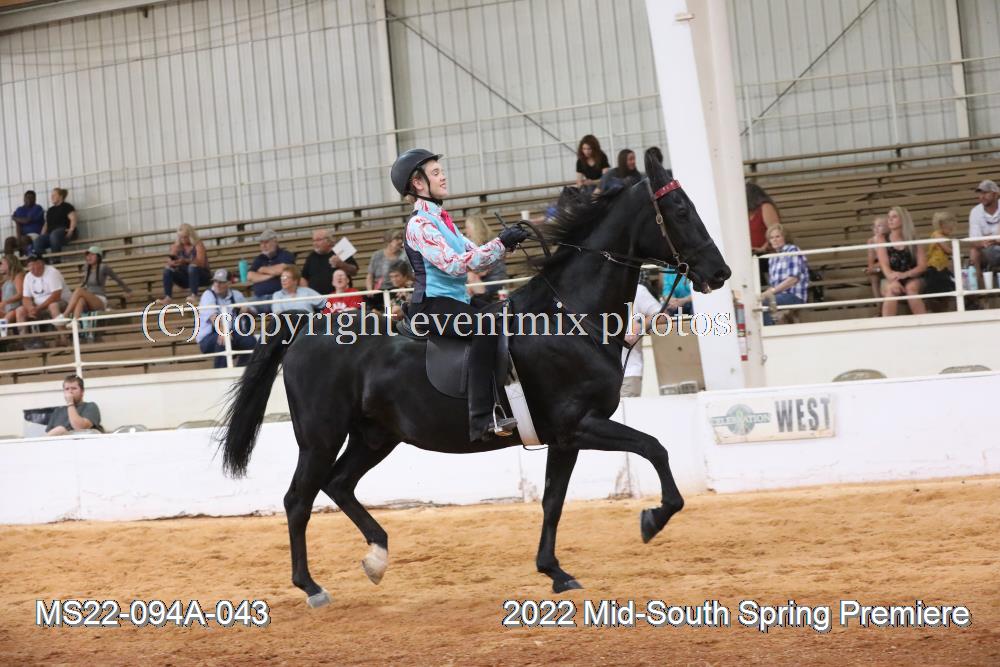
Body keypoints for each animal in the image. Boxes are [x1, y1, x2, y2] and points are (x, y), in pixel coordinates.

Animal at [218, 155, 731, 606]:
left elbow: (553, 502)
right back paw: (311, 587)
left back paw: (377, 556)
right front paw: (653, 519)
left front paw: (555, 572)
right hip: (320, 437)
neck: (568, 315)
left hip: (375, 435)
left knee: (339, 485)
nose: (720, 272)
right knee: (298, 499)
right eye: (680, 210)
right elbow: (654, 448)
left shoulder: (564, 438)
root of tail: (308, 325)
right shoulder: (580, 424)